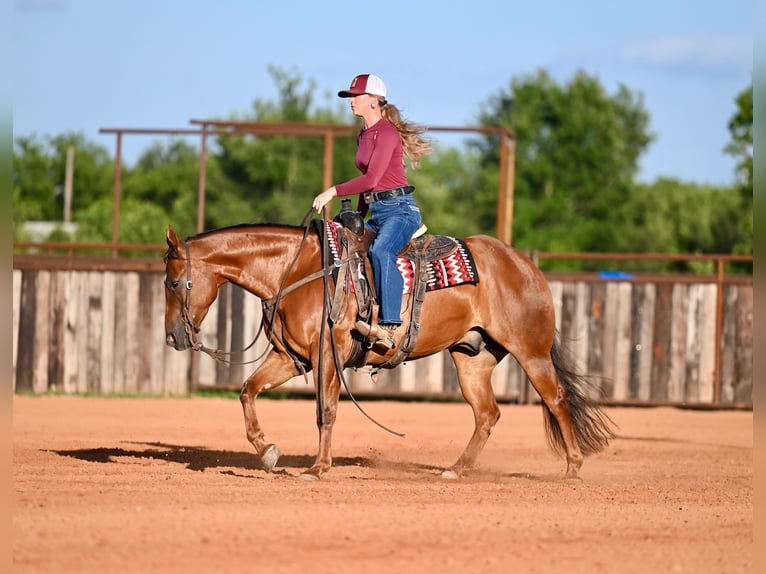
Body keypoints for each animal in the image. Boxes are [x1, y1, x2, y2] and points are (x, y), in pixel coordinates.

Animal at [163, 222, 615, 481]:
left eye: (172, 282)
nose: (171, 337)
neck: (300, 270)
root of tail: (525, 264)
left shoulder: (328, 355)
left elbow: (325, 410)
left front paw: (318, 468)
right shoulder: (290, 358)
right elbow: (247, 390)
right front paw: (268, 451)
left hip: (531, 351)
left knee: (556, 400)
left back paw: (573, 469)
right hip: (472, 359)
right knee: (487, 414)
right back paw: (457, 470)